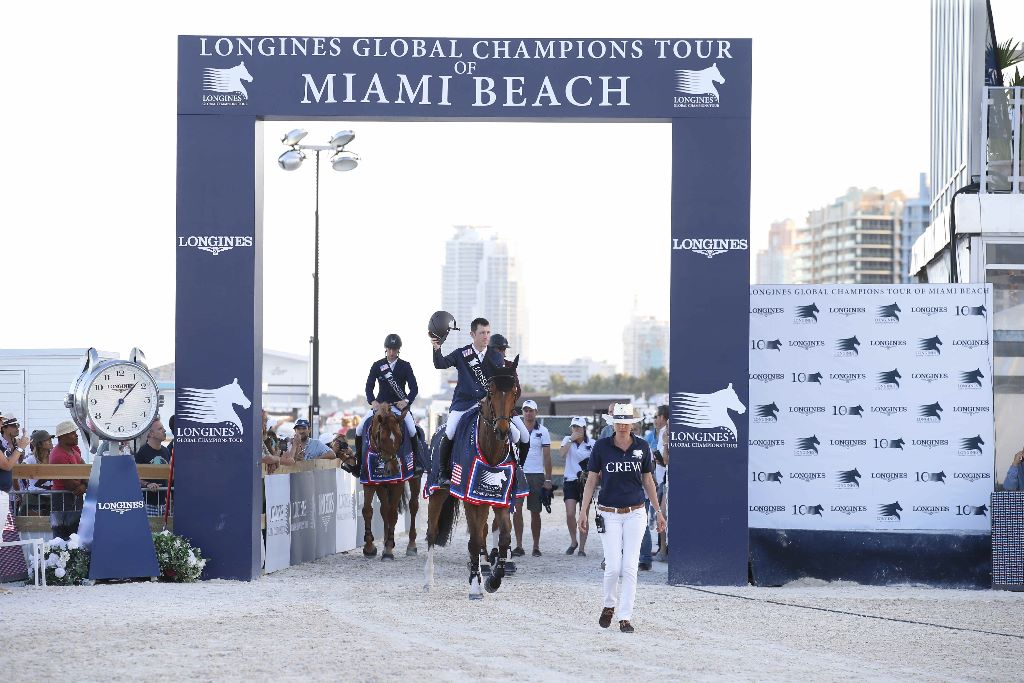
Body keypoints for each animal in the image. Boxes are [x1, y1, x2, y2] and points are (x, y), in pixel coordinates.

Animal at [360, 401, 407, 561]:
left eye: (400, 438)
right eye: (382, 438)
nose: (394, 470)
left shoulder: (398, 484)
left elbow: (393, 514)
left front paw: (388, 550)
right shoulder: (369, 482)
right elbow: (367, 510)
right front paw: (369, 547)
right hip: (382, 486)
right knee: (384, 510)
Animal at [423, 360, 520, 602]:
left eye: (514, 391)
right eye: (490, 391)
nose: (502, 431)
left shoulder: (499, 500)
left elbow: (504, 537)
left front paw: (493, 580)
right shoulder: (469, 499)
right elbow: (475, 540)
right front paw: (476, 587)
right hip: (438, 494)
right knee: (431, 534)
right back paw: (429, 581)